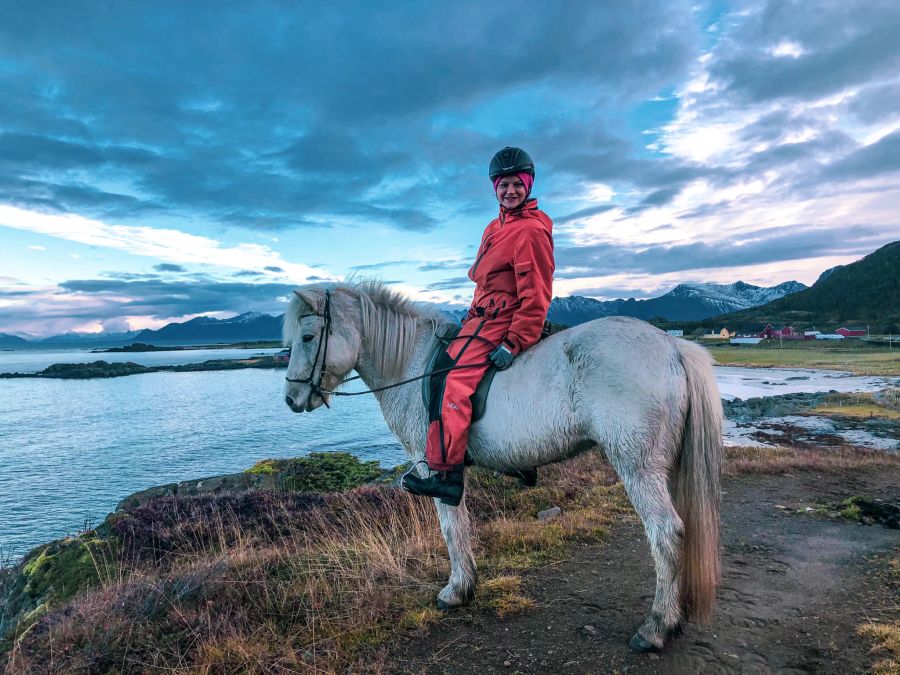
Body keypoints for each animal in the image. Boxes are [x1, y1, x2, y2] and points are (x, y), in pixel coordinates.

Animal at [282, 282, 724, 656]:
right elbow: (460, 525)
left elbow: (452, 527)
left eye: (308, 337)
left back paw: (657, 627)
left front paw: (457, 590)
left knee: (666, 532)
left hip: (638, 464)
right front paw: (466, 585)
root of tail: (672, 346)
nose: (290, 398)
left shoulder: (434, 466)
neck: (413, 363)